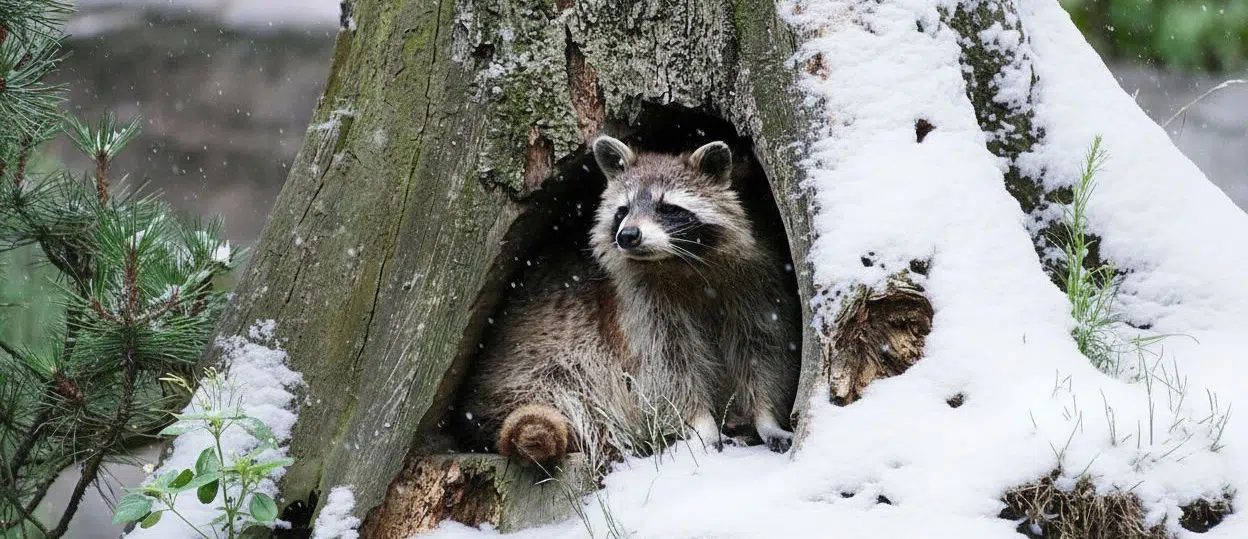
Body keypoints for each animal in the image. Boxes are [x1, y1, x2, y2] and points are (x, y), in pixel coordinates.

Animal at [458, 135, 800, 466]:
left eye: (669, 208)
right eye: (622, 210)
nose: (628, 235)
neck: (679, 264)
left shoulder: (755, 285)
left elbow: (760, 350)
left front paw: (765, 417)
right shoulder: (636, 305)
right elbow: (667, 368)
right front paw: (701, 424)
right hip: (541, 370)